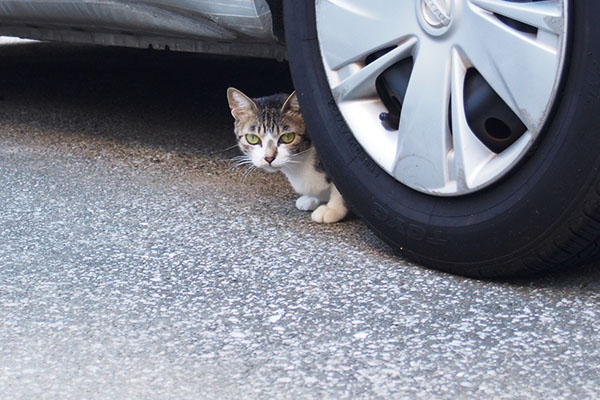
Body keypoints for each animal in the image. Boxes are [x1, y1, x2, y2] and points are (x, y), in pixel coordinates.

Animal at [225, 87, 346, 223]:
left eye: (288, 137)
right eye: (252, 138)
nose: (269, 158)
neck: (301, 163)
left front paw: (333, 208)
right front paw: (311, 199)